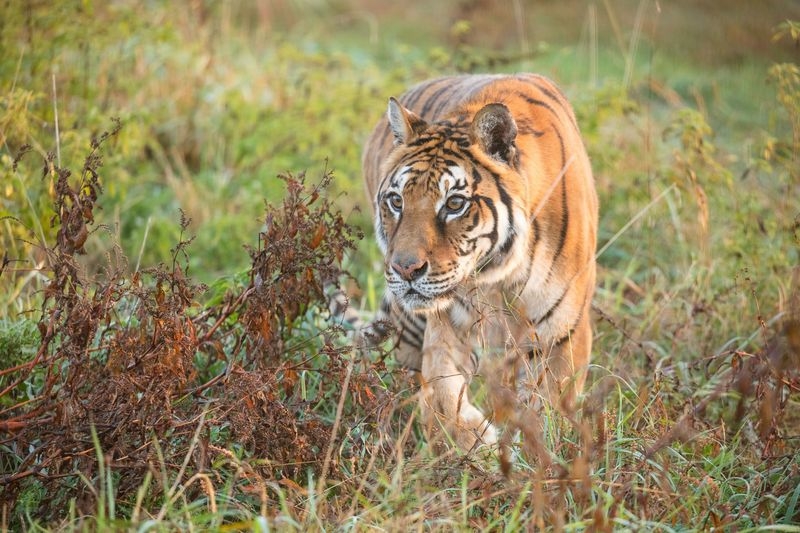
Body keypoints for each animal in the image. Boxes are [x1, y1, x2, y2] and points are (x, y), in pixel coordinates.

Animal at [360, 74, 596, 448]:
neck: (498, 277)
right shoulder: (446, 327)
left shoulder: (562, 334)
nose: (405, 269)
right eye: (397, 201)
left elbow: (549, 413)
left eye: (454, 204)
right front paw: (476, 444)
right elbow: (443, 399)